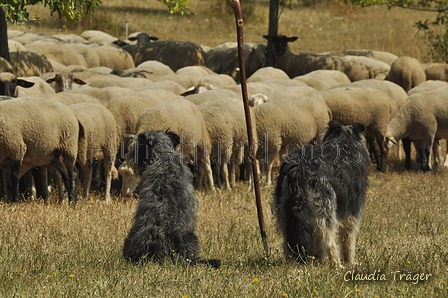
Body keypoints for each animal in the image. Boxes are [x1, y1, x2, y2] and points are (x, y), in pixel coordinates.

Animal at [272, 120, 372, 266]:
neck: (343, 139)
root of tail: (298, 168)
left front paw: (318, 258)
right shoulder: (352, 211)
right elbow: (348, 239)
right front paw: (351, 261)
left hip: (285, 210)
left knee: (287, 240)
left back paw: (292, 262)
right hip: (326, 206)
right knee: (329, 239)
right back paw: (337, 264)